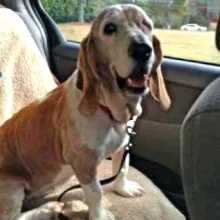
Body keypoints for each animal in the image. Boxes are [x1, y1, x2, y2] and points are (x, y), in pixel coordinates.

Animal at [0, 3, 171, 220]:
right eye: (109, 28)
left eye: (146, 24)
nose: (143, 50)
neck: (108, 110)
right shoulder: (84, 163)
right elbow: (96, 192)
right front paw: (99, 215)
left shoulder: (123, 145)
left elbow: (122, 168)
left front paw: (122, 188)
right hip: (11, 187)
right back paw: (48, 208)